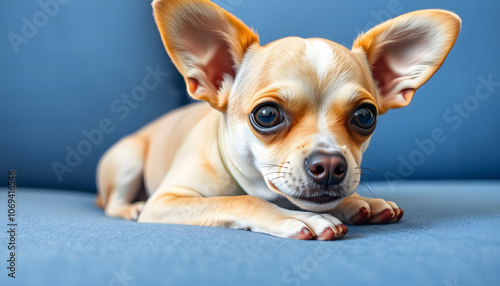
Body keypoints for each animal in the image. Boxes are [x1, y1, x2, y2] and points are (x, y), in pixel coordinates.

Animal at [95, 0, 462, 241]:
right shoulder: (167, 201)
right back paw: (129, 208)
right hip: (128, 159)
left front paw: (361, 202)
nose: (331, 164)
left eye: (365, 116)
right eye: (267, 115)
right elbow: (244, 200)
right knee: (112, 203)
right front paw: (300, 218)